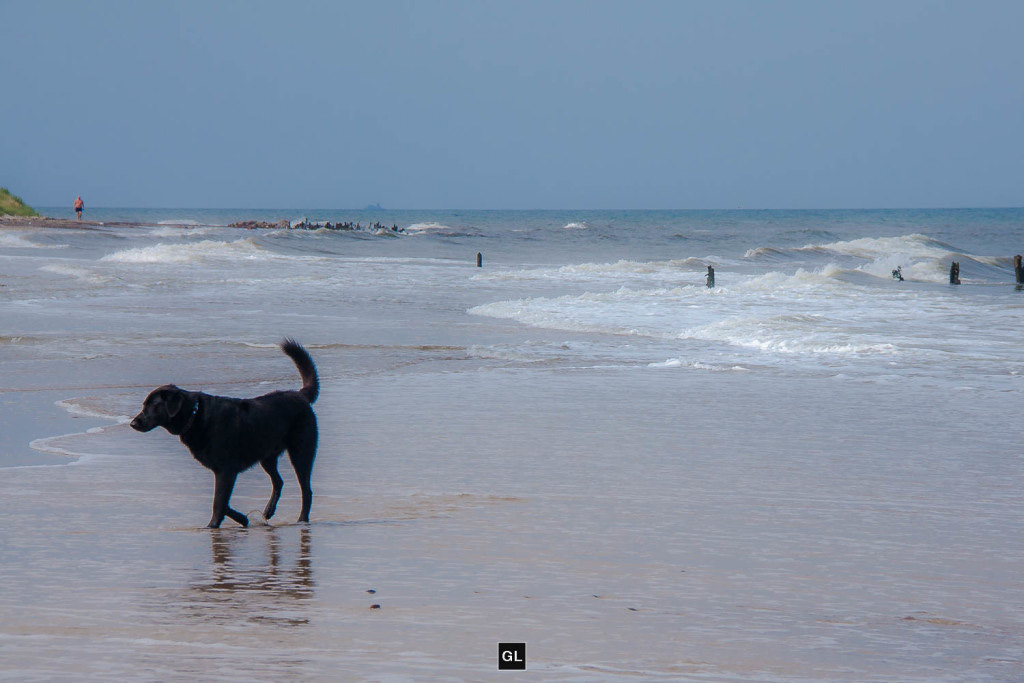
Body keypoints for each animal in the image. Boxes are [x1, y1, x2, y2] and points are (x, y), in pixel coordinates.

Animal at [130, 339, 319, 528]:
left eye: (152, 406)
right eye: (144, 405)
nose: (132, 423)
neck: (195, 414)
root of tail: (300, 396)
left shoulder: (225, 471)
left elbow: (218, 502)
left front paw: (212, 526)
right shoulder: (225, 473)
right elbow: (223, 502)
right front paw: (243, 518)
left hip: (301, 453)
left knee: (306, 490)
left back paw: (302, 520)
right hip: (267, 456)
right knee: (278, 482)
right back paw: (268, 511)